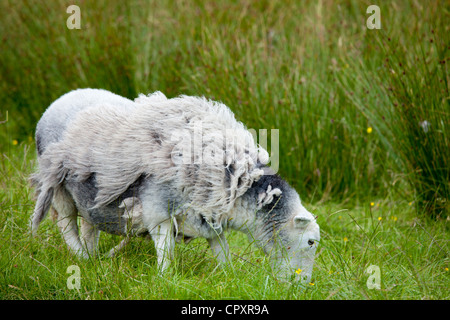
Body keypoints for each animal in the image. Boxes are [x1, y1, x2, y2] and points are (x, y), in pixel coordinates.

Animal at [30, 89, 320, 282]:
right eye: (311, 242)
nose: (301, 286)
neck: (234, 181)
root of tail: (59, 100)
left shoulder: (208, 216)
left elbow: (222, 251)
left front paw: (228, 277)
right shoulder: (158, 211)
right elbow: (166, 250)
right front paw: (165, 278)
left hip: (90, 194)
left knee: (89, 225)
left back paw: (93, 257)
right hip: (58, 186)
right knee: (66, 223)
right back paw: (83, 259)